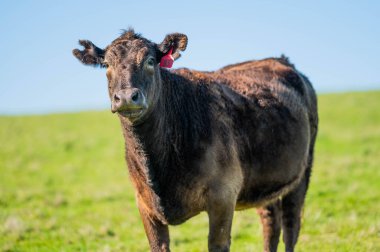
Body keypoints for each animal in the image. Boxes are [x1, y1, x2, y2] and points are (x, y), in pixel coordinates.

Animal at [72, 28, 318, 251]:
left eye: (150, 61)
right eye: (106, 65)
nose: (125, 97)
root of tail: (279, 60)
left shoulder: (223, 196)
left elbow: (217, 244)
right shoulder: (144, 203)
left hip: (302, 171)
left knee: (291, 226)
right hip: (264, 180)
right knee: (270, 222)